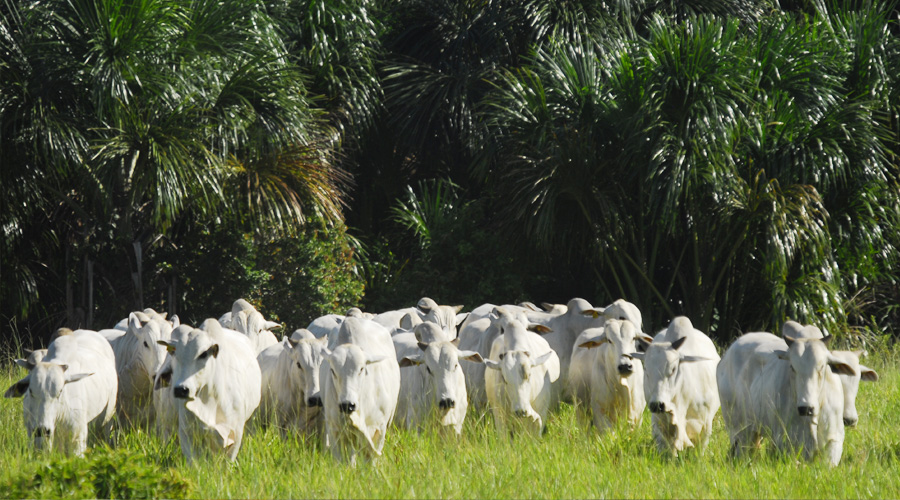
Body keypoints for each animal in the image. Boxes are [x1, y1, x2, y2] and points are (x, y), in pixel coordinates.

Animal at [320, 316, 398, 464]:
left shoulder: (380, 429)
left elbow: (372, 460)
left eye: (361, 369)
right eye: (332, 370)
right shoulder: (334, 430)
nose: (347, 405)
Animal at [716, 332, 852, 464]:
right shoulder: (786, 441)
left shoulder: (833, 441)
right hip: (738, 430)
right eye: (792, 367)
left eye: (822, 366)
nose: (805, 408)